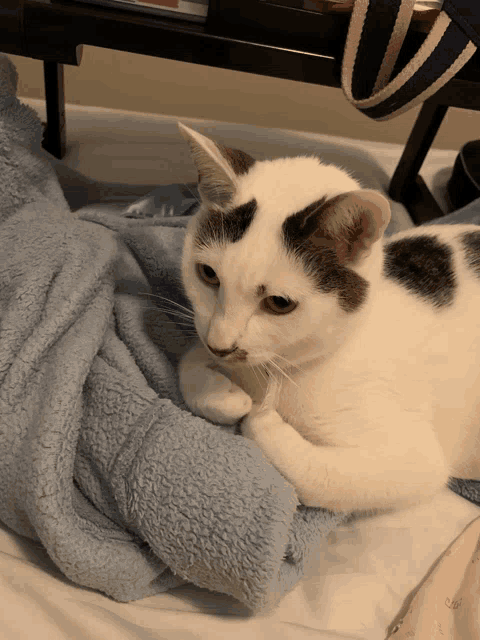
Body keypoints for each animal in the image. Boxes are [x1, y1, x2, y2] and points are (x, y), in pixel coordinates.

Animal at [176, 122, 480, 516]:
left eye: (278, 303)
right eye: (208, 274)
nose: (221, 346)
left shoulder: (413, 460)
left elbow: (320, 477)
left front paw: (262, 419)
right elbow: (188, 356)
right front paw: (223, 396)